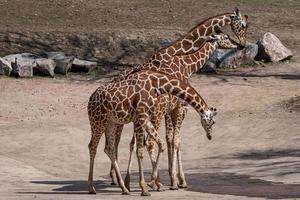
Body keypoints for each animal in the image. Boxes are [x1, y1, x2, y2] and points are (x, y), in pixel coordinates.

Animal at [88, 69, 217, 196]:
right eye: (213, 122)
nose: (210, 136)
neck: (157, 84)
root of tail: (91, 98)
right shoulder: (141, 115)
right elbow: (141, 151)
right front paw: (145, 187)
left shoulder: (145, 117)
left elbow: (160, 144)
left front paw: (152, 181)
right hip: (98, 121)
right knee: (92, 146)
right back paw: (91, 188)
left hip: (111, 122)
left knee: (108, 148)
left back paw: (124, 188)